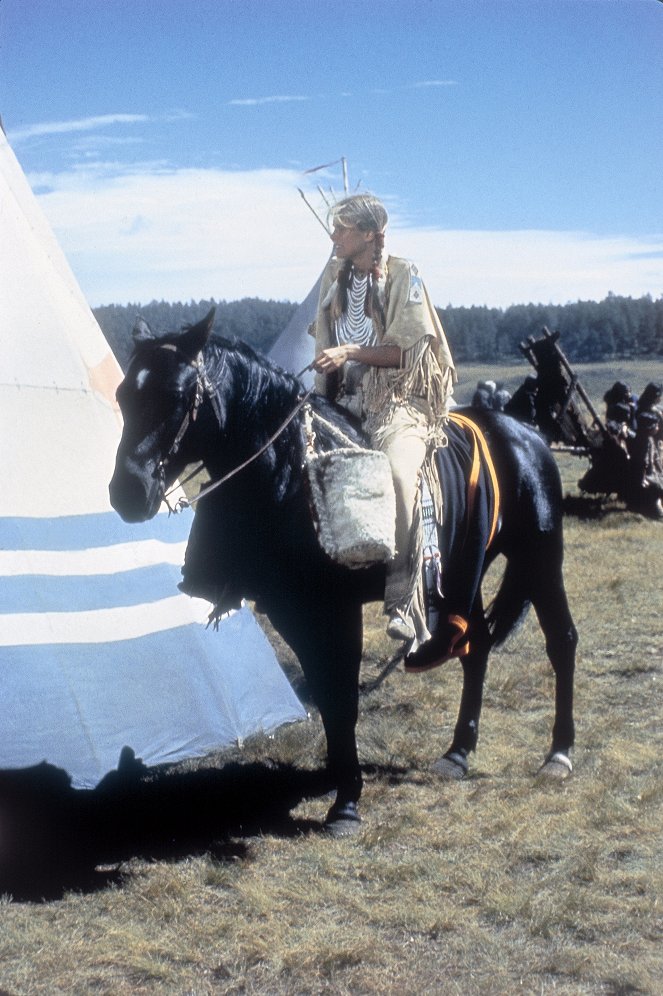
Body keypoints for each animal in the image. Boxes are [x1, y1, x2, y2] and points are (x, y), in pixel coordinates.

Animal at [109, 310, 576, 832]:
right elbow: (326, 695)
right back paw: (458, 752)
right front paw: (338, 779)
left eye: (175, 395)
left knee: (561, 641)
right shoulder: (291, 611)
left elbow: (343, 698)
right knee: (474, 646)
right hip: (462, 575)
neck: (290, 474)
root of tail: (526, 433)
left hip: (540, 558)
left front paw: (348, 801)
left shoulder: (337, 610)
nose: (127, 492)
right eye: (123, 395)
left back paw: (558, 755)